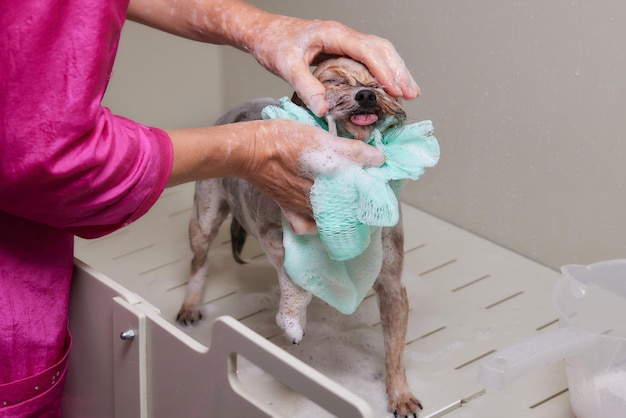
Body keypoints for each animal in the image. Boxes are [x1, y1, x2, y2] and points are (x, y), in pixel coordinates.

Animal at [178, 58, 422, 414]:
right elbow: (291, 280)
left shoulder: (392, 286)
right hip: (204, 216)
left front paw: (400, 396)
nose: (366, 95)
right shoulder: (272, 233)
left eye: (378, 85)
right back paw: (190, 306)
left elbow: (394, 349)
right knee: (199, 261)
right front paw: (293, 322)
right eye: (334, 81)